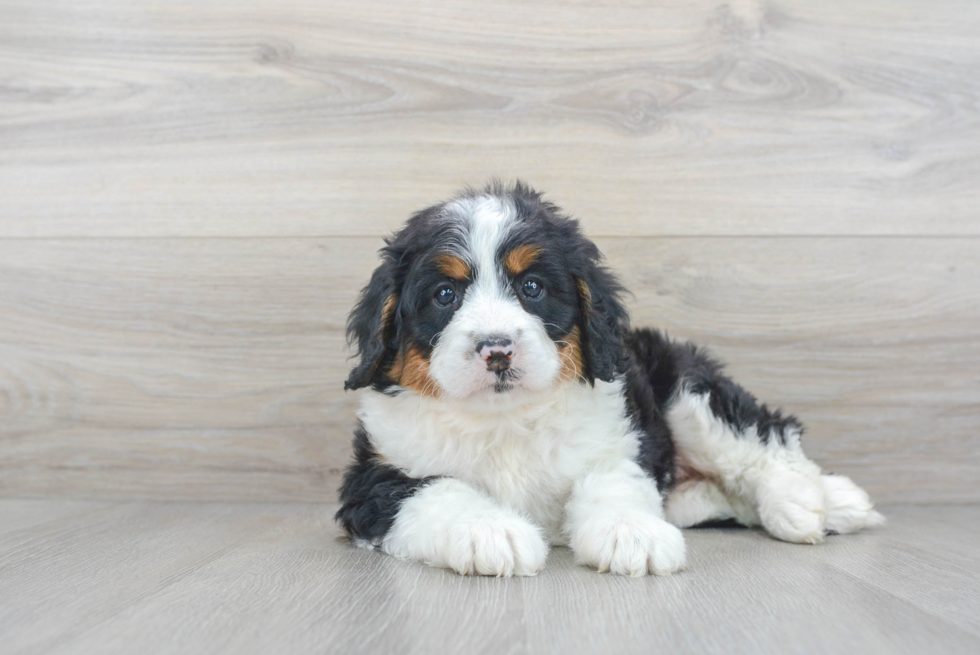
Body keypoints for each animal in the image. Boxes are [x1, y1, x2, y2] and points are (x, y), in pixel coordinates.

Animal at [334, 182, 884, 576]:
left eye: (532, 288)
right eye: (445, 295)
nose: (497, 349)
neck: (505, 420)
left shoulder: (618, 436)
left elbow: (610, 482)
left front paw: (630, 533)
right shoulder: (373, 480)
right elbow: (436, 491)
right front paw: (489, 532)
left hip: (682, 385)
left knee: (764, 437)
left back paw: (814, 502)